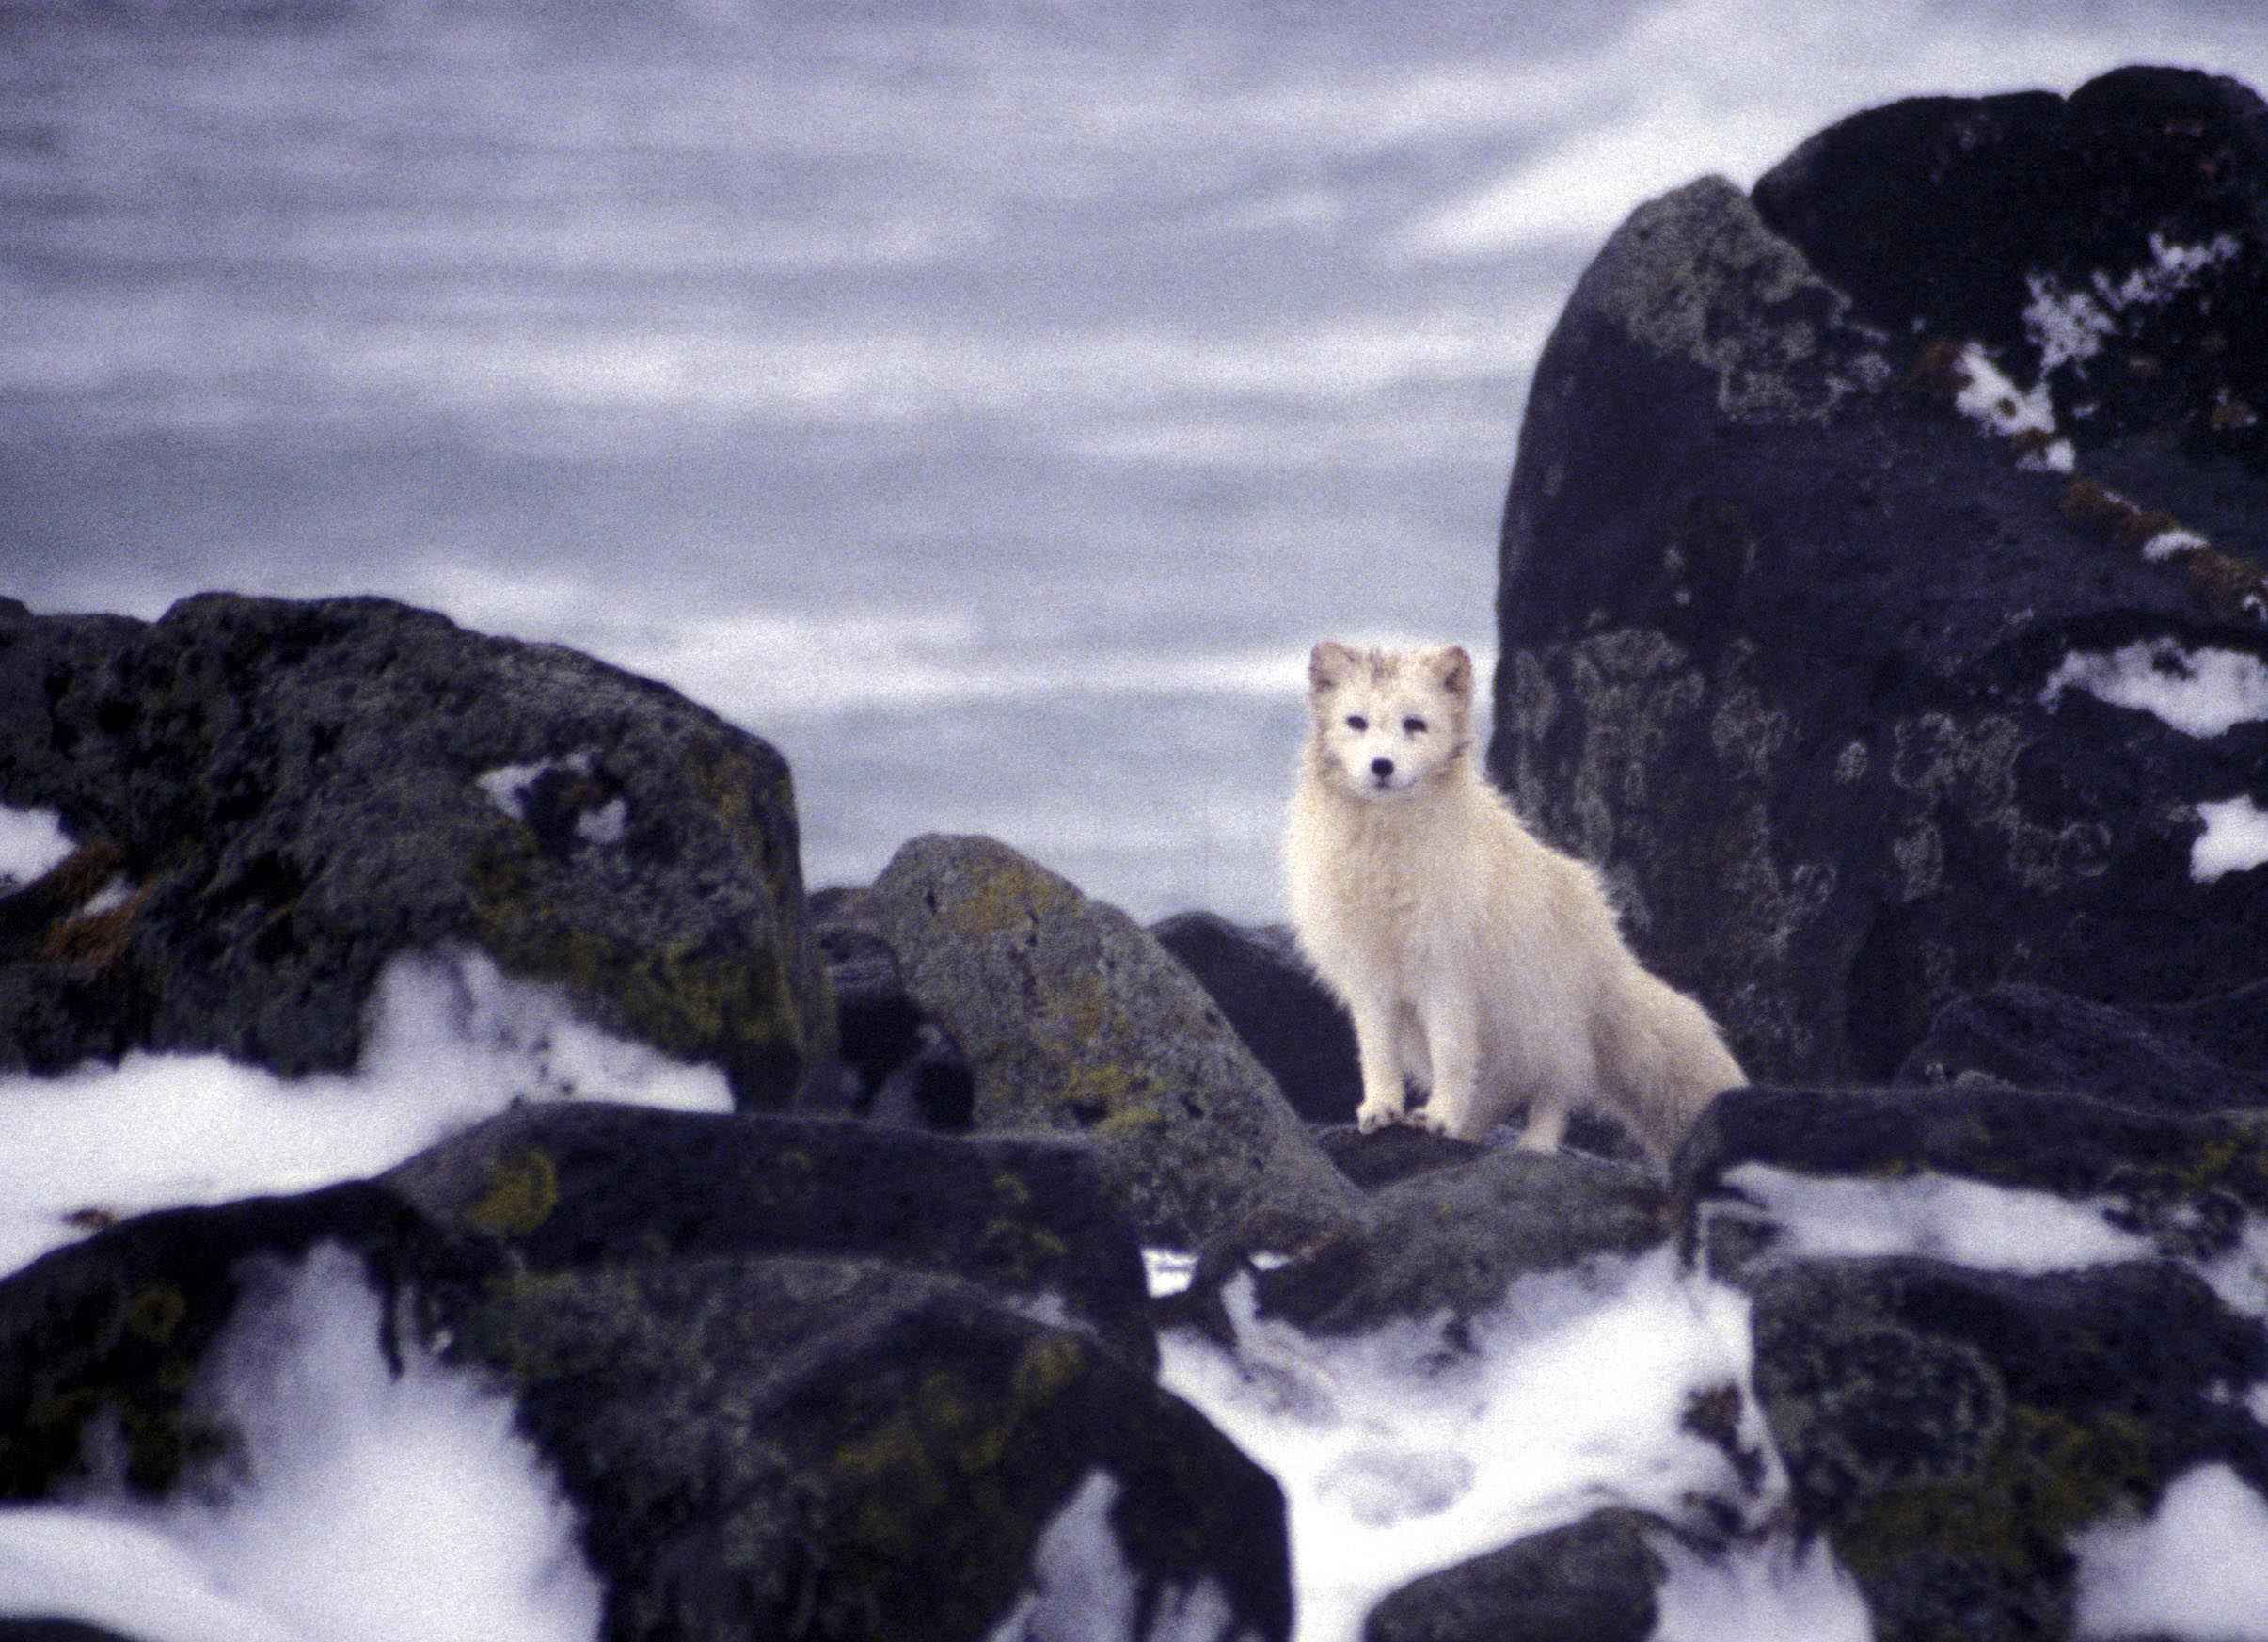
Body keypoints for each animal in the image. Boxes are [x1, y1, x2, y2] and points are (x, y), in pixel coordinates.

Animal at [1283, 640, 1743, 1165]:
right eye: (1356, 722)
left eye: (1414, 724)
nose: (1382, 766)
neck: (1384, 856)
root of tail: (1612, 956)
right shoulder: (1370, 978)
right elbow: (1378, 1056)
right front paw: (1382, 1110)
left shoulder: (1445, 974)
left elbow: (1452, 1057)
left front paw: (1438, 1116)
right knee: (1497, 1094)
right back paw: (1467, 1136)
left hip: (1548, 1028)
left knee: (1554, 1091)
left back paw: (1533, 1147)